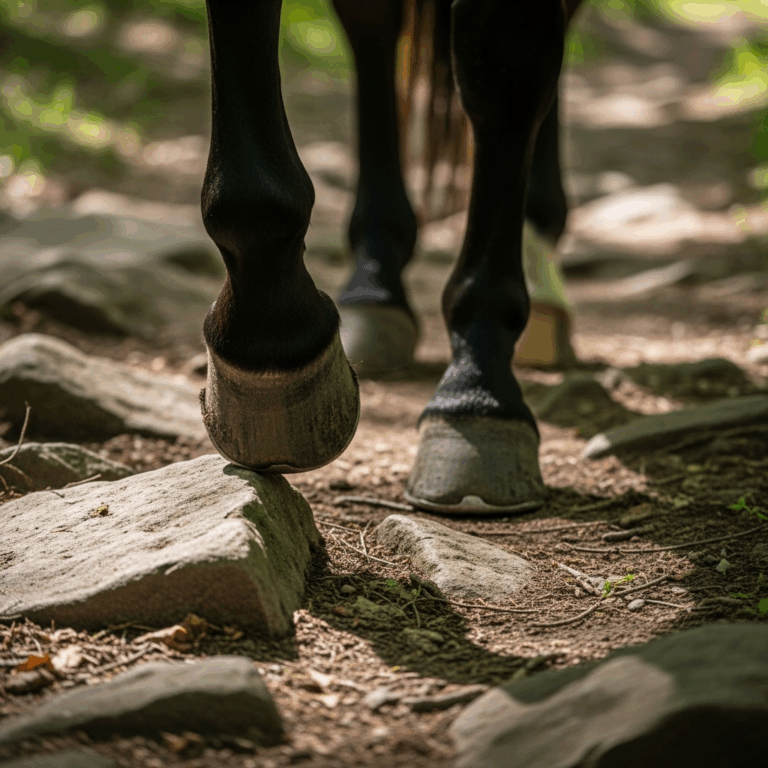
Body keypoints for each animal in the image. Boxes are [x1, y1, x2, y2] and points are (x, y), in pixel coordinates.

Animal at [199, 0, 584, 514]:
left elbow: (503, 65)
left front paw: (476, 390)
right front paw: (270, 338)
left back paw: (539, 261)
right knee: (372, 27)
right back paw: (375, 285)